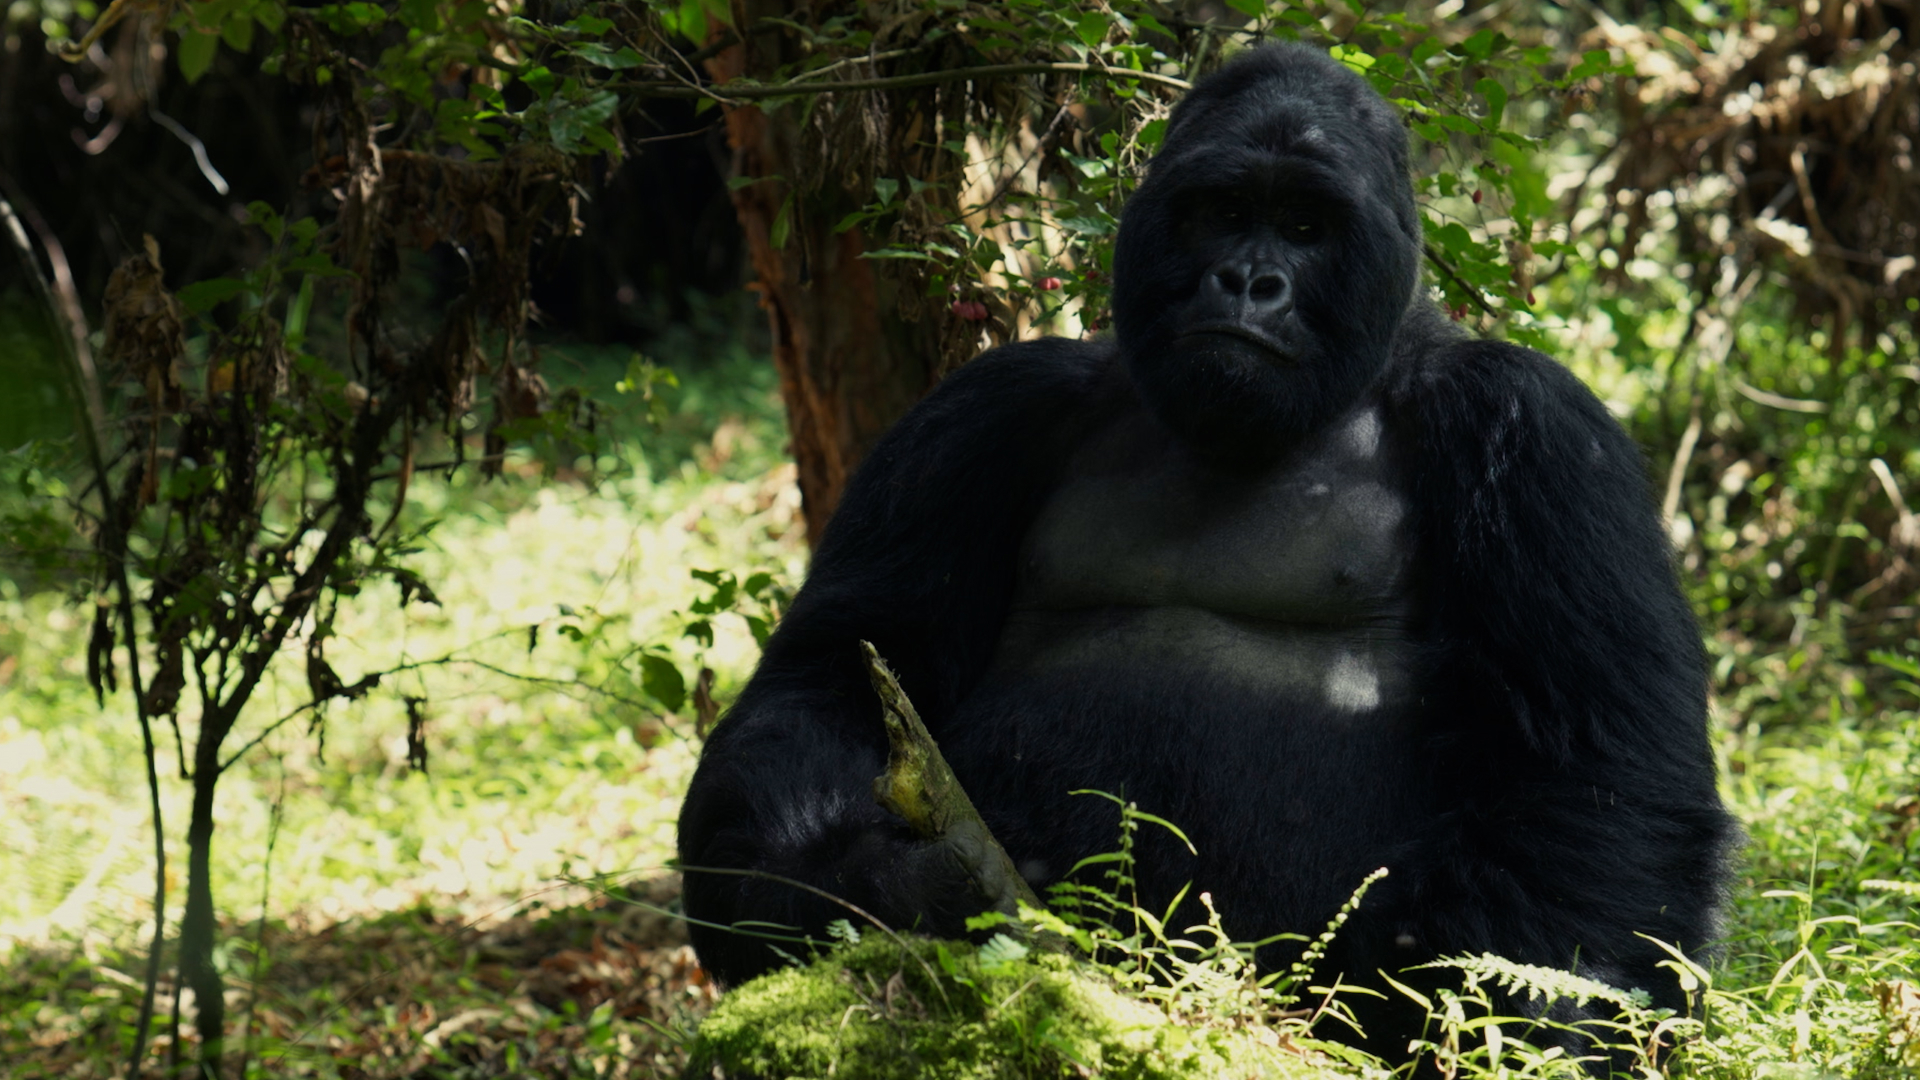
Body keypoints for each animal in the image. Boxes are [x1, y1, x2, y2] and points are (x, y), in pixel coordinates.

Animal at [675, 44, 1743, 1060]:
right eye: (1224, 214)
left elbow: (1596, 774)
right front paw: (876, 885)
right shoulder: (981, 409)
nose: (1249, 283)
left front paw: (1516, 1030)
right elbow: (835, 673)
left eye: (1306, 228)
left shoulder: (1536, 431)